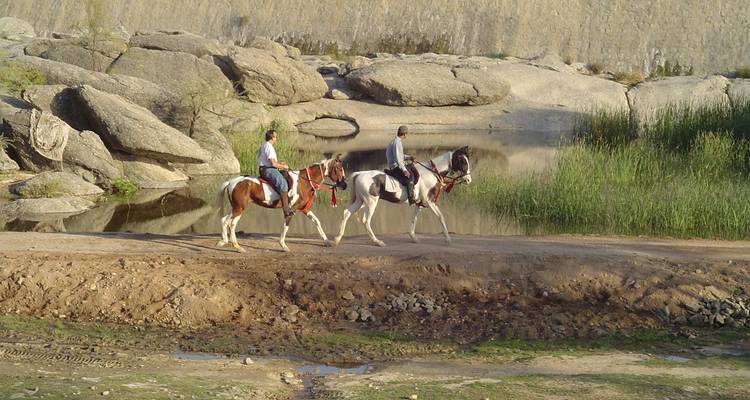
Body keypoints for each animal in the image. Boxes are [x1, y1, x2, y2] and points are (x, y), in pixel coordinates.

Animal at [216, 155, 347, 252]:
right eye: (339, 169)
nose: (345, 185)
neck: (303, 181)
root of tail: (231, 182)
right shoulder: (291, 209)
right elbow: (286, 226)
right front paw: (283, 245)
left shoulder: (304, 209)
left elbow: (316, 221)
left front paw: (326, 241)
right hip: (239, 209)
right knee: (231, 223)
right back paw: (236, 246)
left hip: (235, 208)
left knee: (224, 220)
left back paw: (225, 241)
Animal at [333, 146, 471, 247]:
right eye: (462, 161)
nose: (468, 180)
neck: (431, 173)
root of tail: (358, 174)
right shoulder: (430, 201)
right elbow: (440, 217)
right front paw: (448, 239)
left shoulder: (420, 203)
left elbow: (414, 219)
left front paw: (413, 237)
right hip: (370, 203)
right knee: (366, 221)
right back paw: (377, 242)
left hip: (360, 201)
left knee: (346, 214)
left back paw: (337, 239)